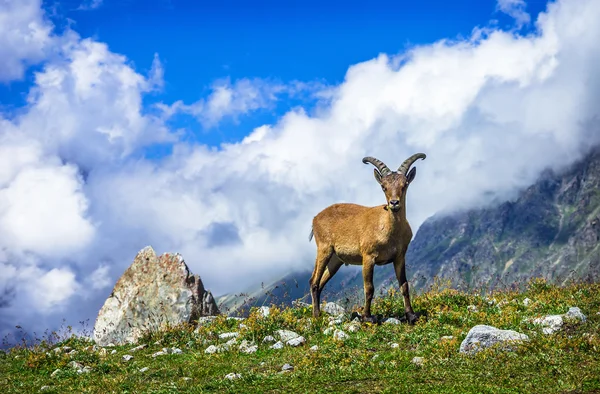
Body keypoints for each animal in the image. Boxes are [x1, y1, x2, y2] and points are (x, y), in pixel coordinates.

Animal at [310, 153, 426, 324]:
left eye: (404, 185)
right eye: (383, 186)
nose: (394, 203)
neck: (390, 231)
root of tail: (315, 218)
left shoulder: (399, 257)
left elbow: (404, 285)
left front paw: (411, 315)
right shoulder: (368, 257)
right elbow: (369, 287)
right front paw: (367, 317)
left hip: (335, 260)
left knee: (321, 282)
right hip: (324, 249)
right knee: (314, 282)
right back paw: (316, 316)